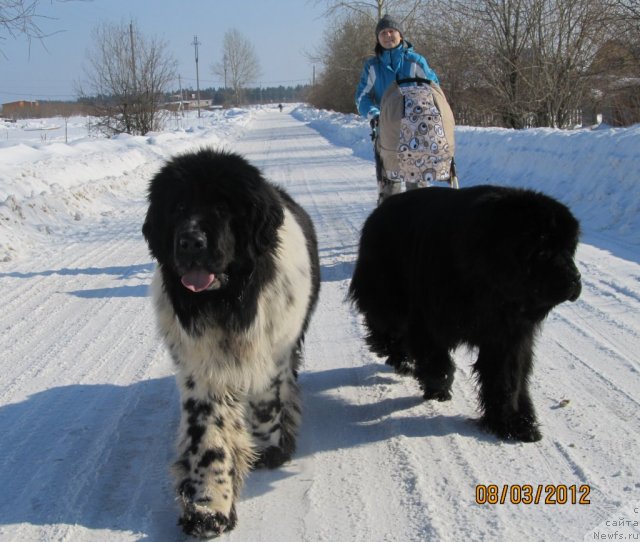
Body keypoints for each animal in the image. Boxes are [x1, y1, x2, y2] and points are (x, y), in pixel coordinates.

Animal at [141, 149, 318, 540]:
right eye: (177, 207)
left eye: (223, 207)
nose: (191, 241)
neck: (227, 303)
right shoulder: (201, 371)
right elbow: (208, 438)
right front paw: (208, 506)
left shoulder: (273, 354)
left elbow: (268, 405)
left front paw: (269, 448)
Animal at [348, 185, 584, 444]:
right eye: (541, 252)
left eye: (569, 249)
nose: (575, 278)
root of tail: (381, 209)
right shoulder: (429, 320)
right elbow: (437, 361)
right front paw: (438, 386)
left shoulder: (507, 336)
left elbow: (506, 379)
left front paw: (513, 423)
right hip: (387, 293)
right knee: (384, 324)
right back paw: (398, 357)